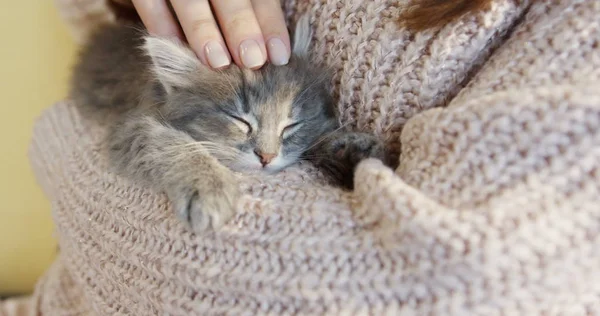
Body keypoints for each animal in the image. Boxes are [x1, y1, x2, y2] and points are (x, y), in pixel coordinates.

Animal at [70, 15, 384, 232]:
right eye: (240, 120)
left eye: (291, 125)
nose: (267, 157)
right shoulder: (131, 128)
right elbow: (174, 144)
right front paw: (210, 188)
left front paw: (352, 146)